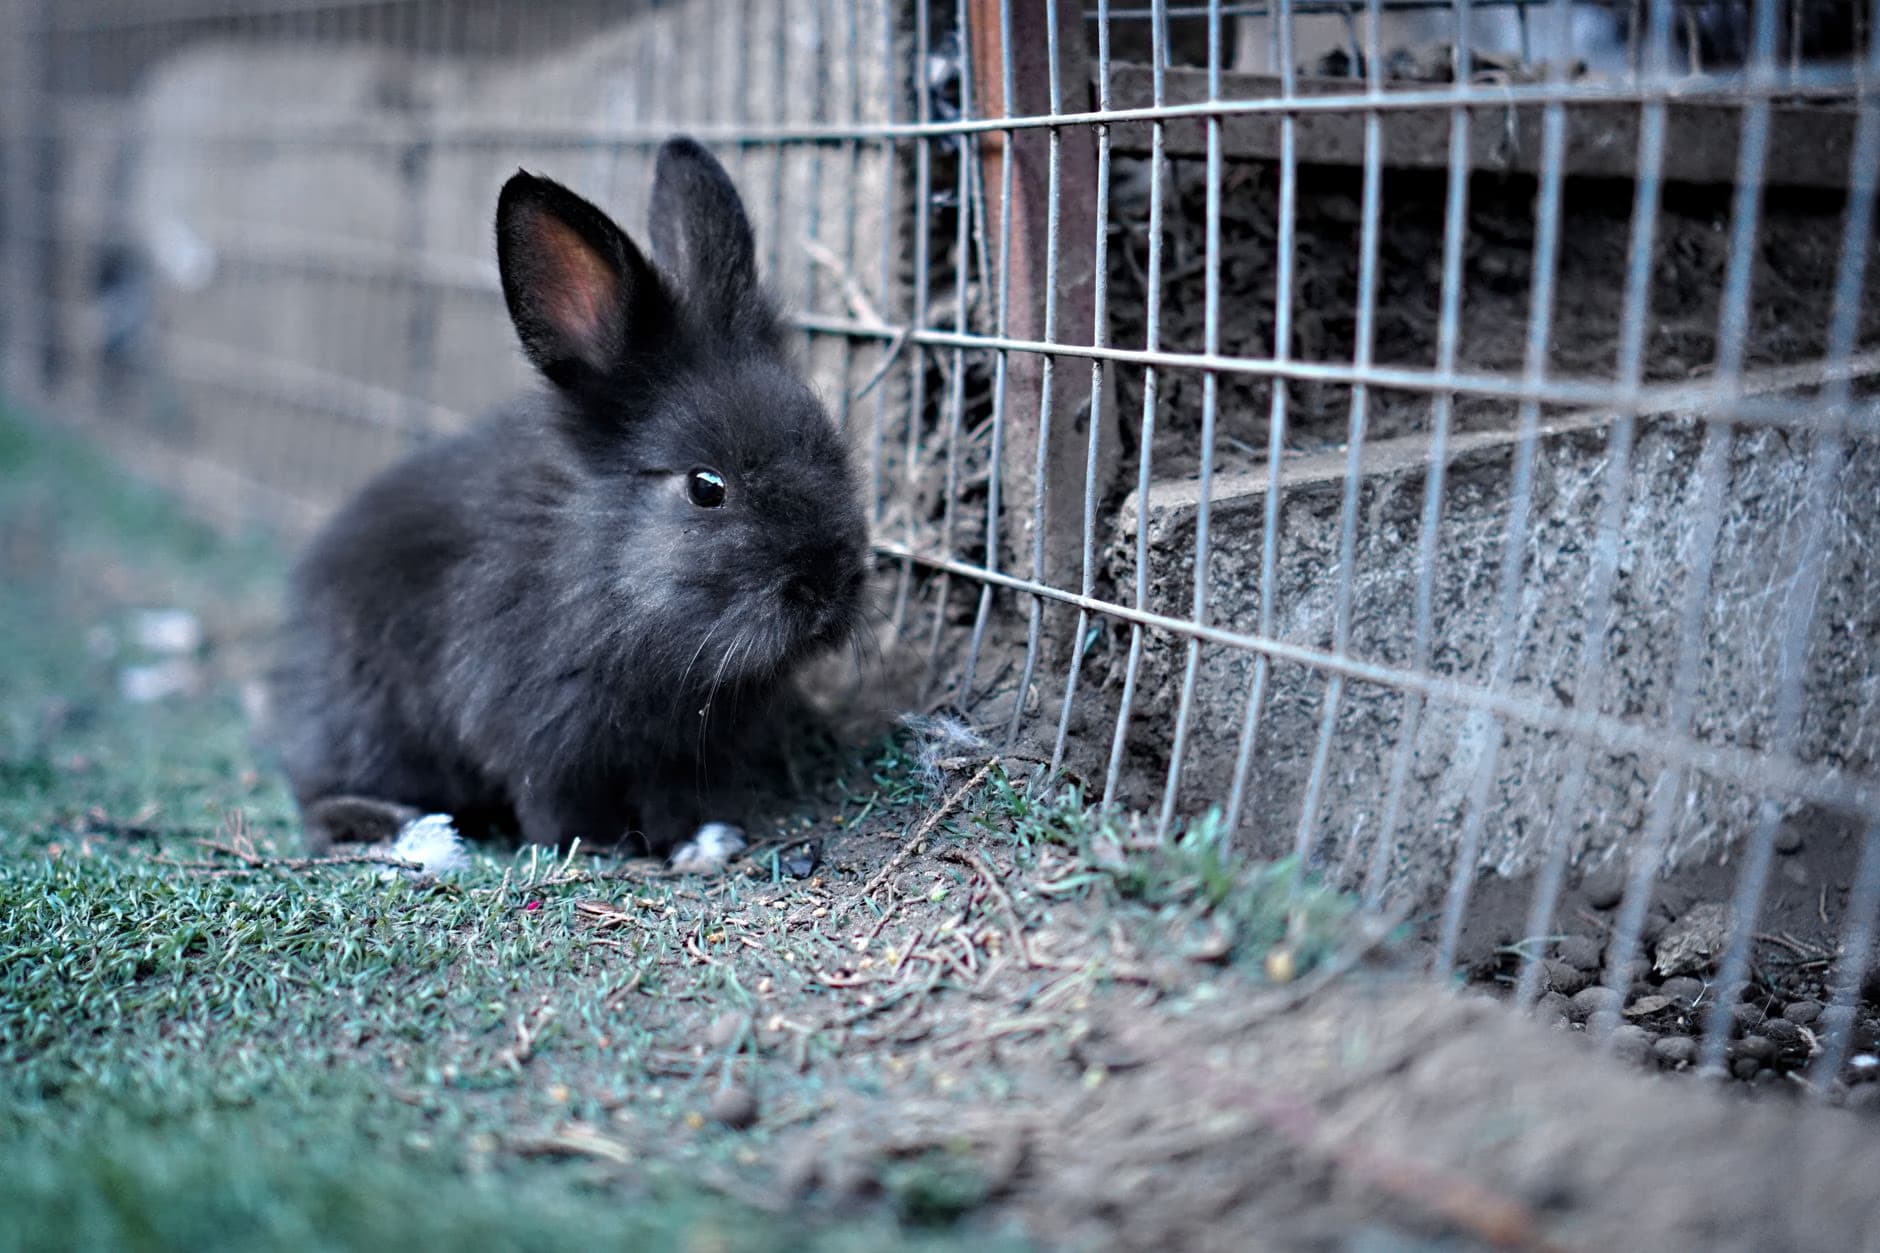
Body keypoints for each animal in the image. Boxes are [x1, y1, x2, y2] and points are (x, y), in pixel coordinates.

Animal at [267, 137, 871, 856]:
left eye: (831, 447)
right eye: (706, 487)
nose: (827, 584)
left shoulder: (685, 755)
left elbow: (675, 797)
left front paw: (691, 836)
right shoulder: (540, 733)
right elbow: (555, 804)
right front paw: (598, 844)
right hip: (366, 724)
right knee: (316, 794)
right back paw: (383, 822)